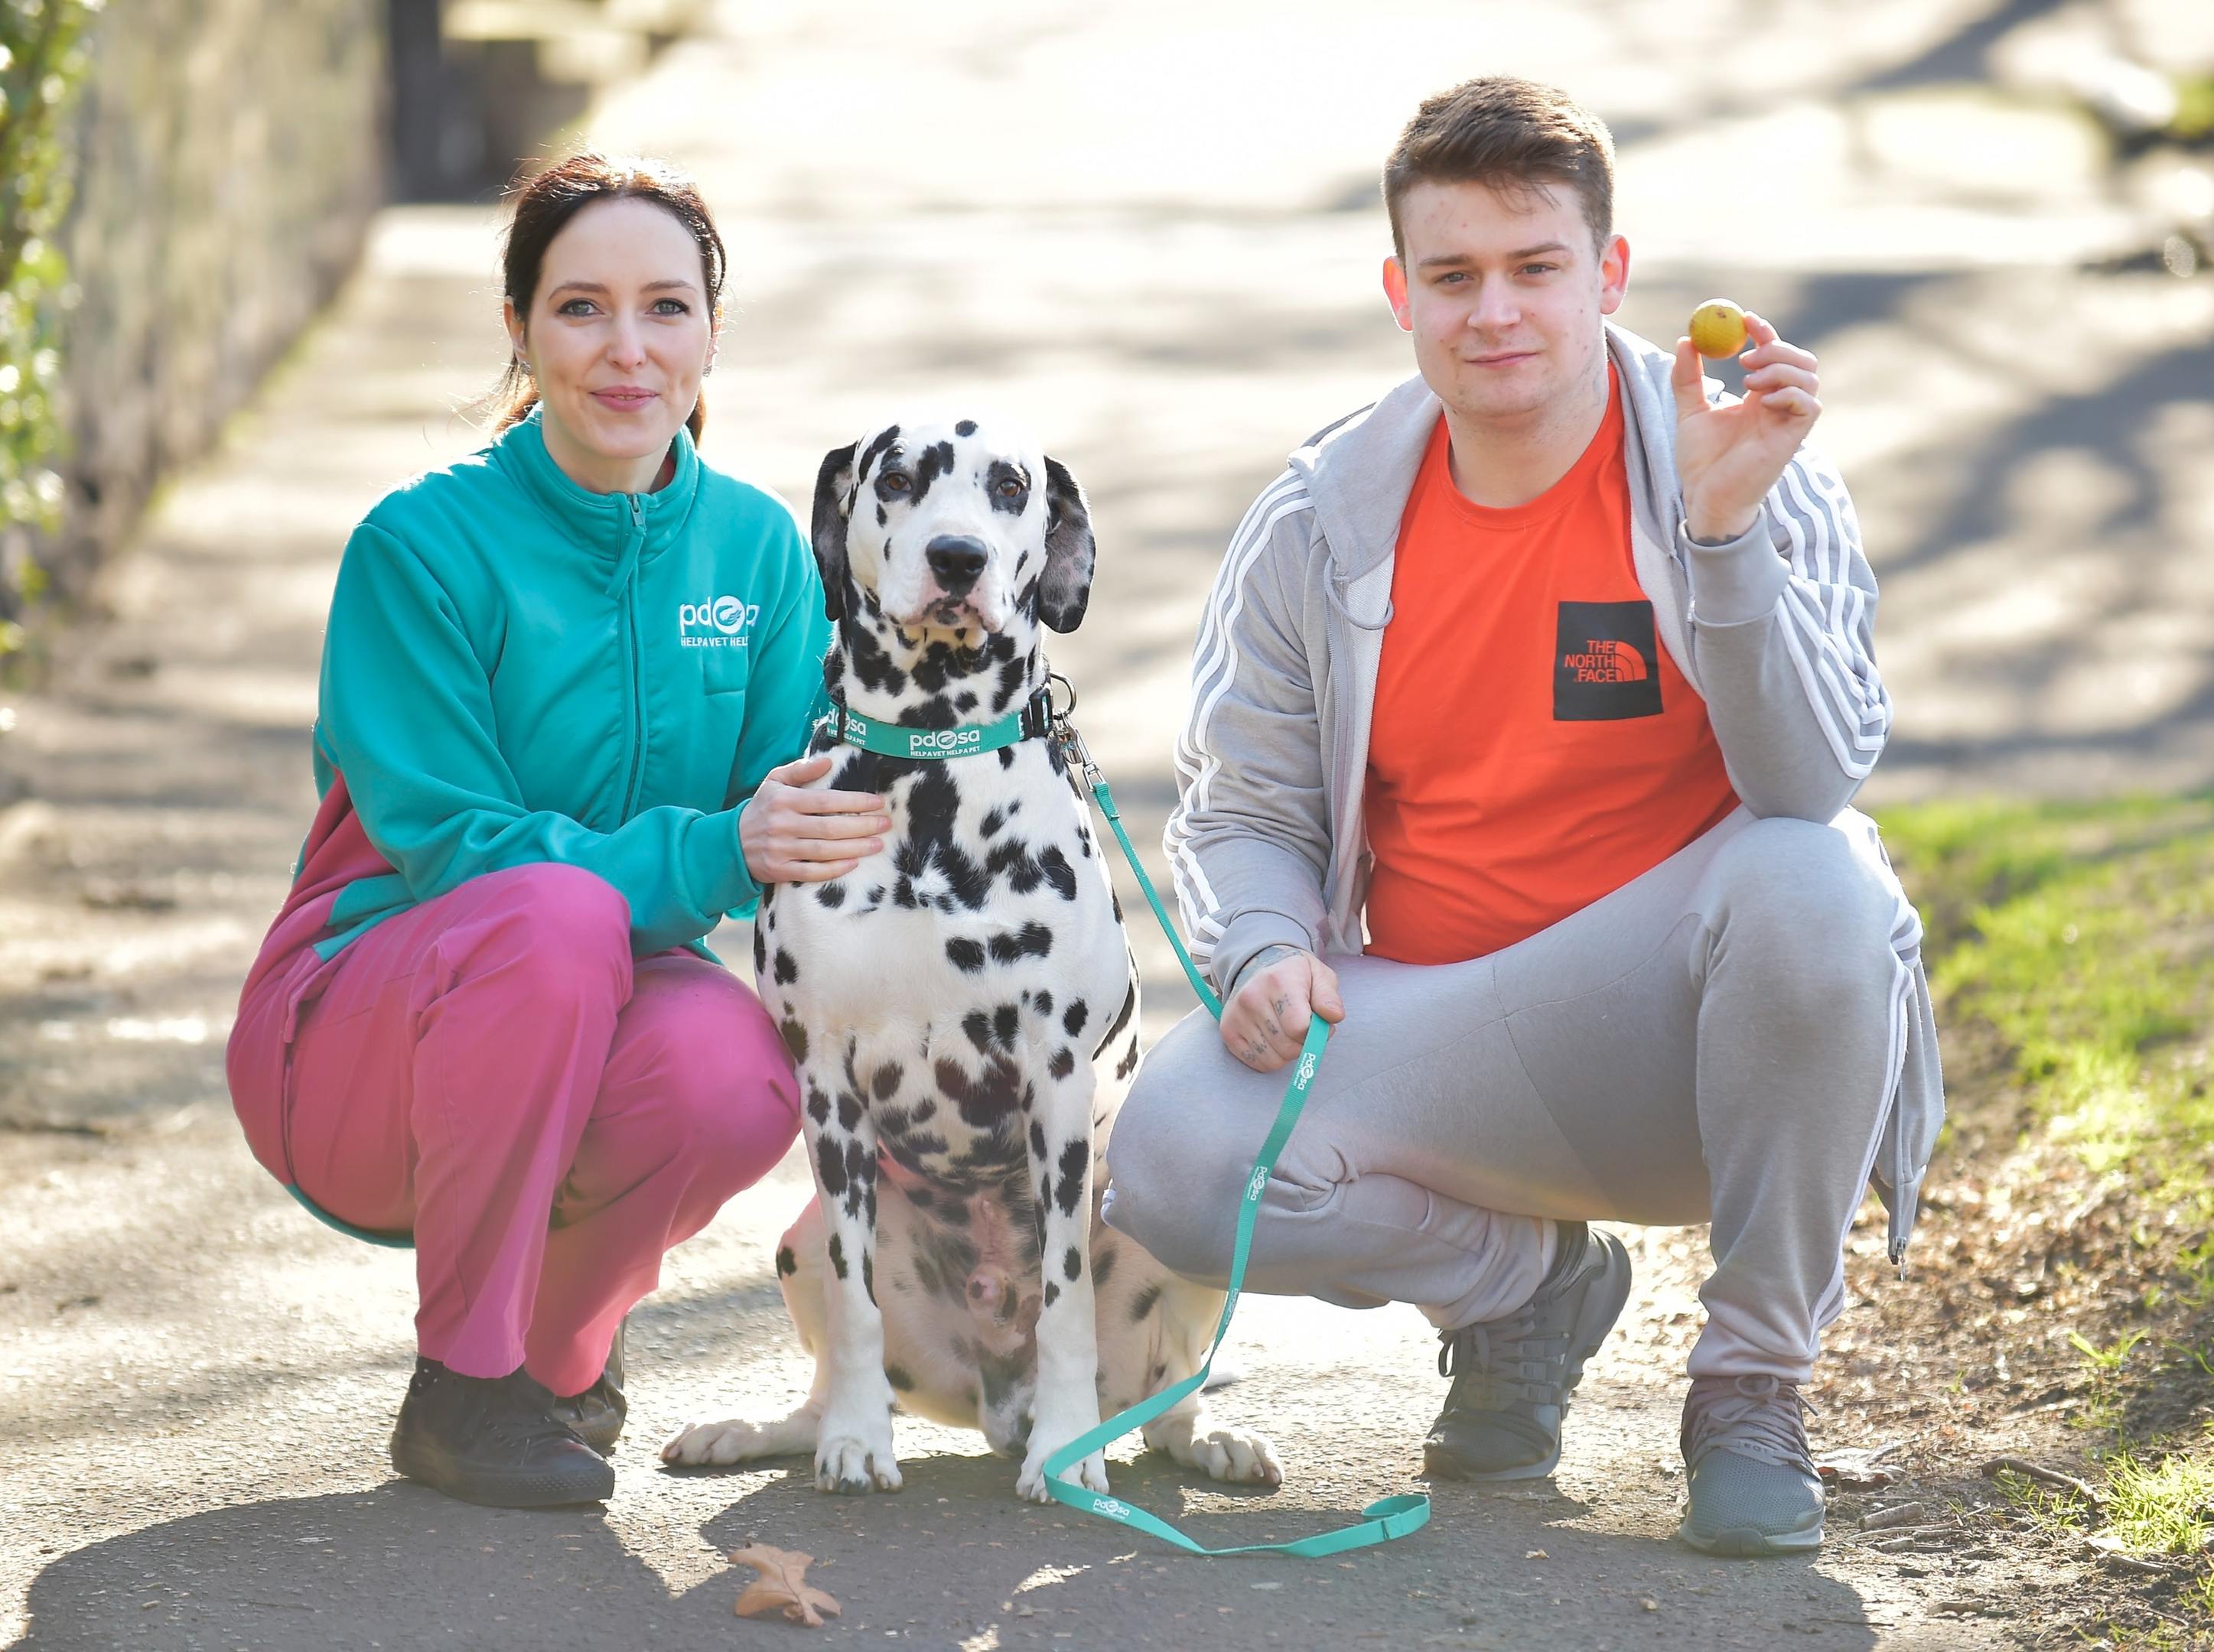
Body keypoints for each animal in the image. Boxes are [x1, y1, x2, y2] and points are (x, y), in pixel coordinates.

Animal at [659, 418, 1284, 1497]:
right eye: (895, 478)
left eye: (1009, 486)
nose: (958, 559)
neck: (931, 774)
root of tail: (997, 1403)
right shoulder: (828, 1086)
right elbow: (858, 1309)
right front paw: (857, 1443)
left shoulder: (1057, 1082)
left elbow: (1066, 1298)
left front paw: (1069, 1453)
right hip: (798, 1237)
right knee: (830, 1360)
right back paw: (766, 1429)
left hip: (1169, 1230)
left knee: (1168, 1390)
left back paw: (1197, 1437)